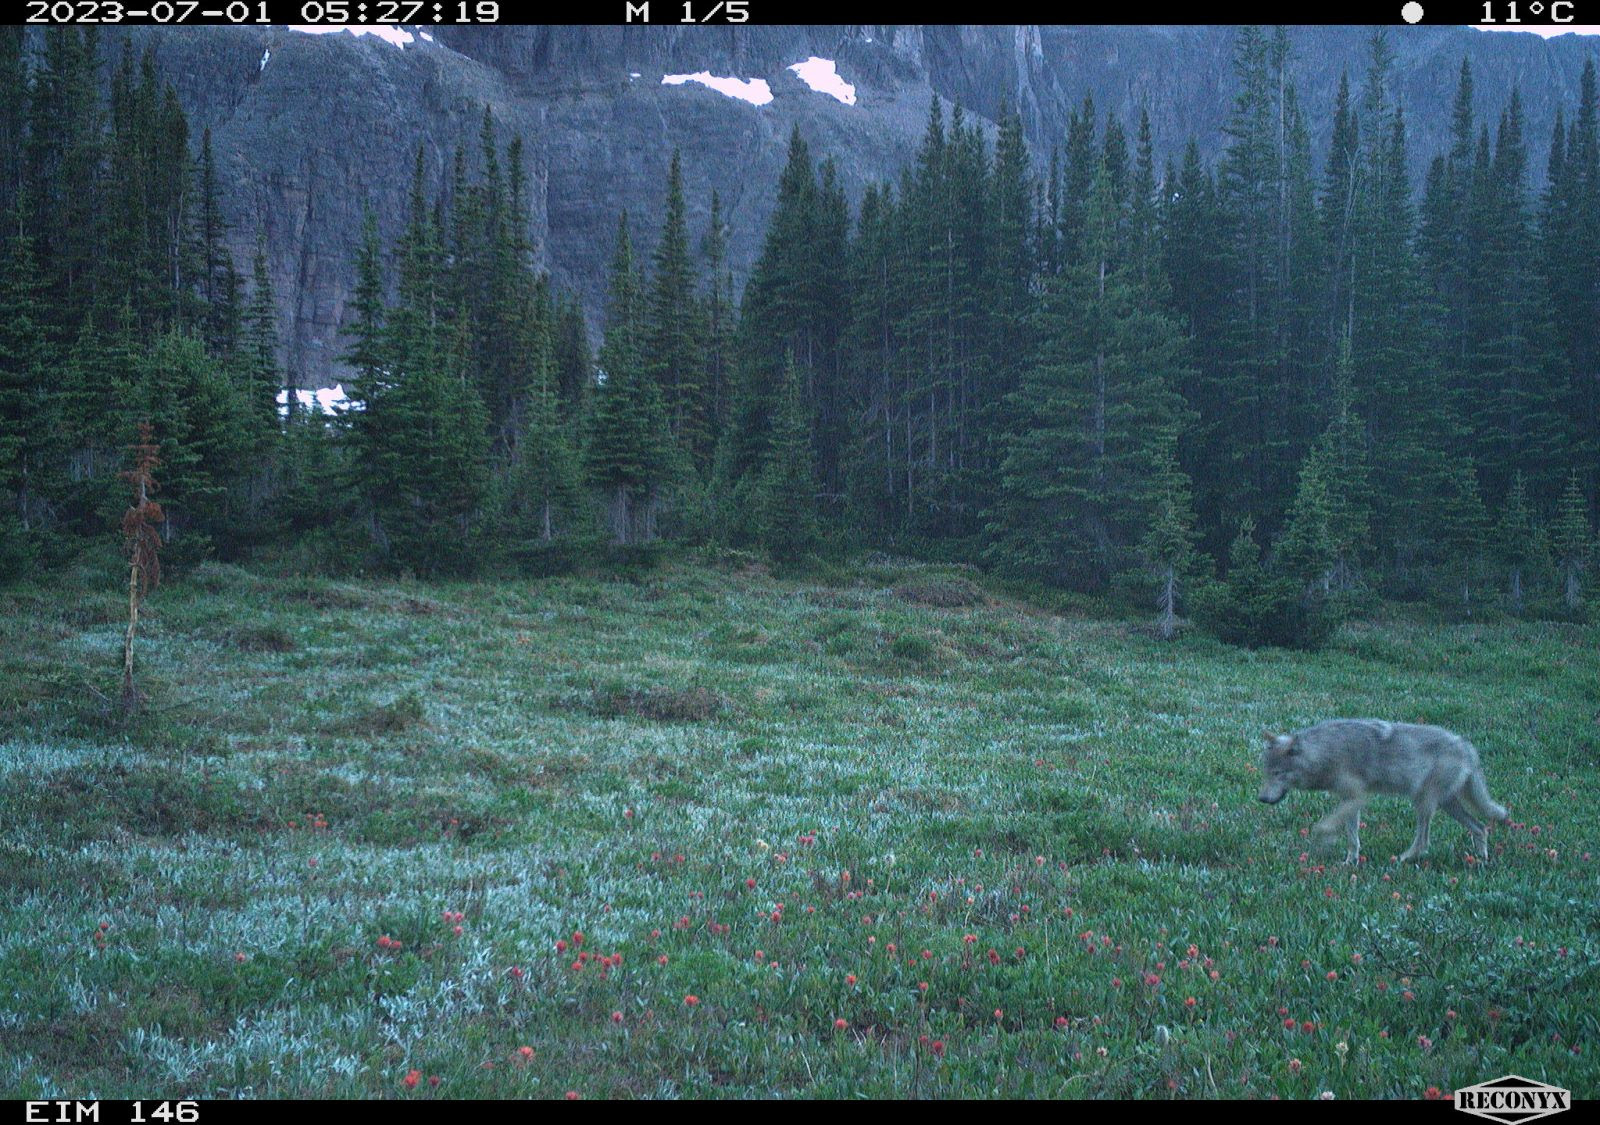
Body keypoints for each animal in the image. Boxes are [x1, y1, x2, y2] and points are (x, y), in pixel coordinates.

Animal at [1254, 716, 1504, 864]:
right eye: (1266, 773)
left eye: (1277, 774)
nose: (1262, 798)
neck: (1326, 752)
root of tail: (1466, 745)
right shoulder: (1349, 801)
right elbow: (1352, 839)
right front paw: (1349, 863)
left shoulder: (1357, 797)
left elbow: (1321, 827)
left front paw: (1323, 844)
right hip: (1445, 804)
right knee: (1480, 827)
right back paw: (1481, 859)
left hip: (1423, 803)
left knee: (1424, 842)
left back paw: (1402, 859)